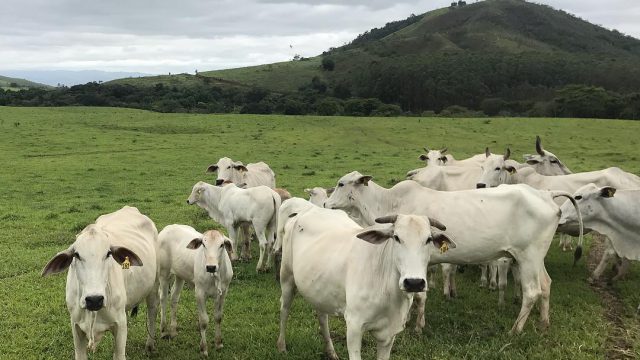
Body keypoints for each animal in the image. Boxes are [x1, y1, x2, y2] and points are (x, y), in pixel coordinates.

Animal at [41, 205, 159, 360]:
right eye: (76, 255)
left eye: (108, 253)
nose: (94, 299)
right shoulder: (75, 327)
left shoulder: (120, 326)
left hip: (154, 286)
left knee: (152, 312)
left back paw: (150, 345)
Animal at [158, 225, 232, 358]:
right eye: (203, 244)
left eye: (222, 244)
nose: (211, 267)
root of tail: (168, 227)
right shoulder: (199, 293)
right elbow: (203, 321)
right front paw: (204, 348)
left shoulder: (223, 292)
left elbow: (218, 317)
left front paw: (219, 343)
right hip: (164, 274)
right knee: (163, 298)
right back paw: (163, 330)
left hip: (180, 275)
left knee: (174, 297)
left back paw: (173, 330)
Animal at [278, 205, 452, 360]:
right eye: (396, 237)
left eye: (428, 239)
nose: (414, 283)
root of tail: (305, 211)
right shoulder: (354, 326)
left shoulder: (389, 334)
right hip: (286, 277)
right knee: (284, 310)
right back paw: (281, 346)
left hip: (320, 291)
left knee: (322, 317)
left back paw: (331, 352)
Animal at [328, 172, 584, 334]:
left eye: (341, 184)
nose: (326, 205)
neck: (389, 202)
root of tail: (545, 194)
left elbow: (420, 296)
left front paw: (418, 326)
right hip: (536, 258)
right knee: (546, 285)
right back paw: (543, 324)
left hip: (528, 257)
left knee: (532, 292)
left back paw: (516, 329)